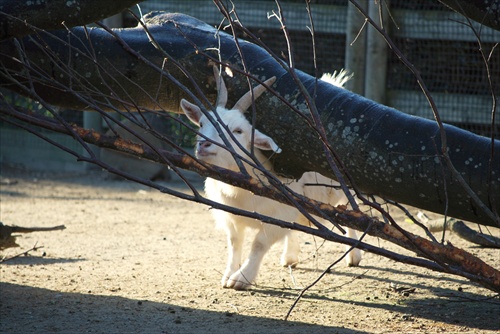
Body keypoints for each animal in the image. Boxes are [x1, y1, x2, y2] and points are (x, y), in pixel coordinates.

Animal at [182, 68, 362, 290]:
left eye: (238, 131)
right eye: (201, 123)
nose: (203, 145)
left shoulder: (278, 216)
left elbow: (258, 244)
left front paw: (242, 278)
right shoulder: (232, 216)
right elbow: (234, 243)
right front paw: (228, 275)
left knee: (351, 212)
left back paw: (354, 256)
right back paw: (290, 257)